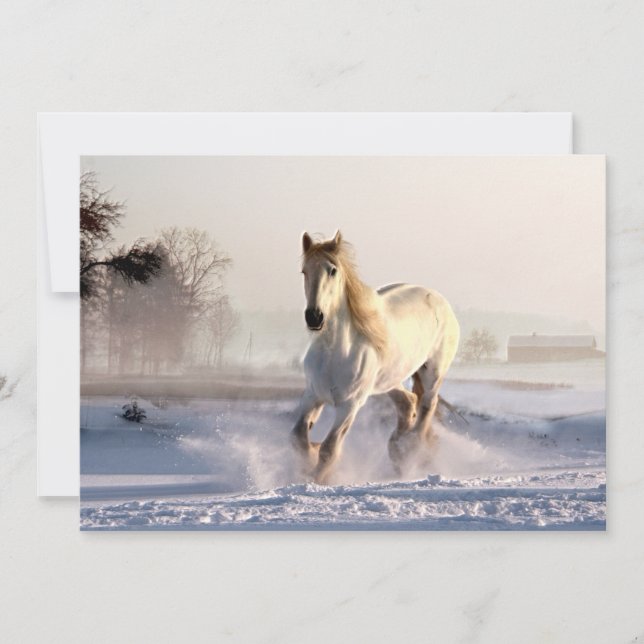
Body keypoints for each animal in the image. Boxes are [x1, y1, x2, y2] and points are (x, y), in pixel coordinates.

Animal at [290, 230, 460, 484]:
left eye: (333, 270)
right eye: (304, 271)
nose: (314, 317)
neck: (334, 352)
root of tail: (441, 301)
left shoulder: (350, 405)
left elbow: (329, 449)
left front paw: (317, 479)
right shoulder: (312, 395)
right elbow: (298, 438)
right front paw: (310, 457)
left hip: (432, 373)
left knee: (427, 407)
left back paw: (410, 449)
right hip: (388, 380)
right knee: (408, 402)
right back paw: (397, 449)